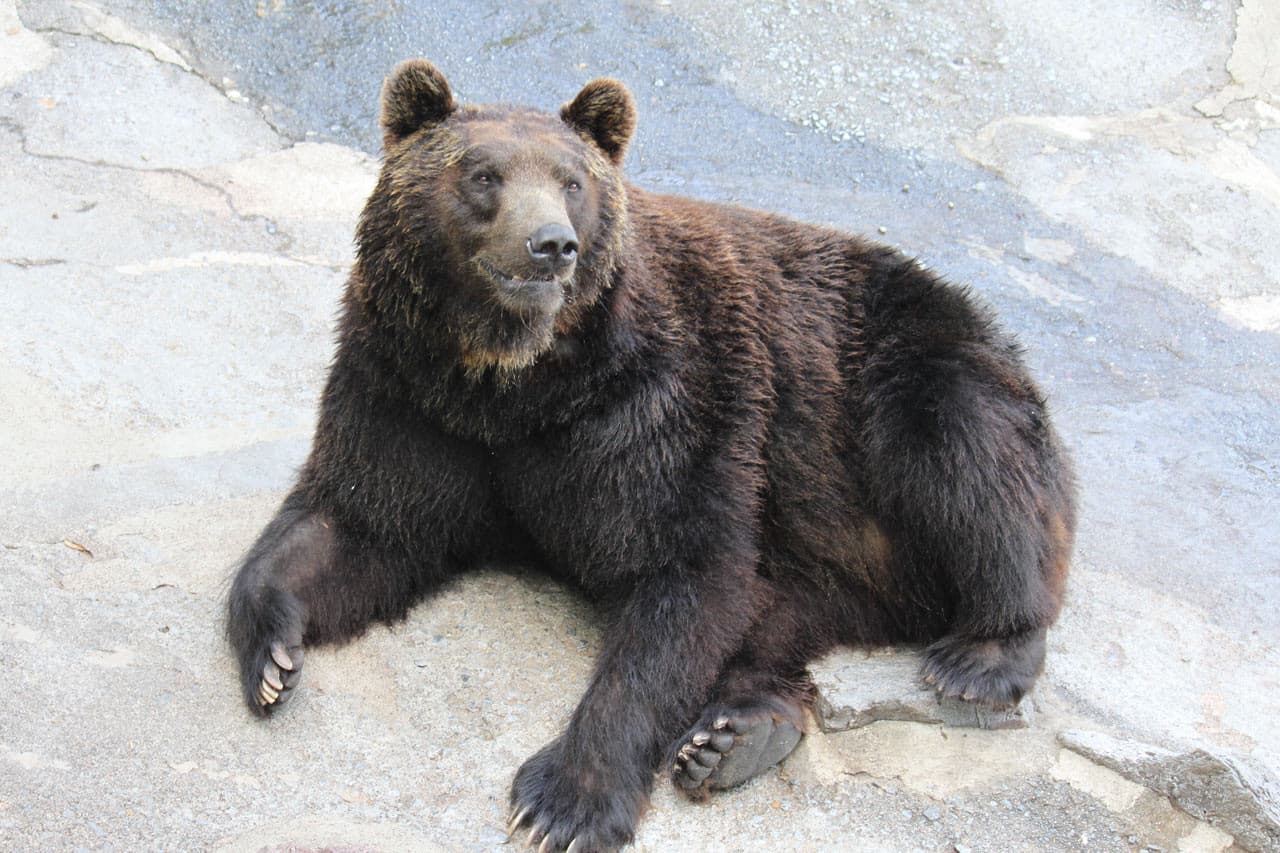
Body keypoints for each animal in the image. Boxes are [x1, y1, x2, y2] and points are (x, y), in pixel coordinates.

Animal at [227, 59, 1075, 852]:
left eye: (571, 181)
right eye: (483, 174)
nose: (551, 246)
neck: (515, 378)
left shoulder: (661, 405)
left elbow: (682, 576)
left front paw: (564, 801)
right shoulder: (409, 391)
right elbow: (361, 520)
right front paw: (272, 655)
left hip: (900, 378)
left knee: (966, 461)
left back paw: (983, 653)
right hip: (820, 554)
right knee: (781, 617)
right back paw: (736, 735)